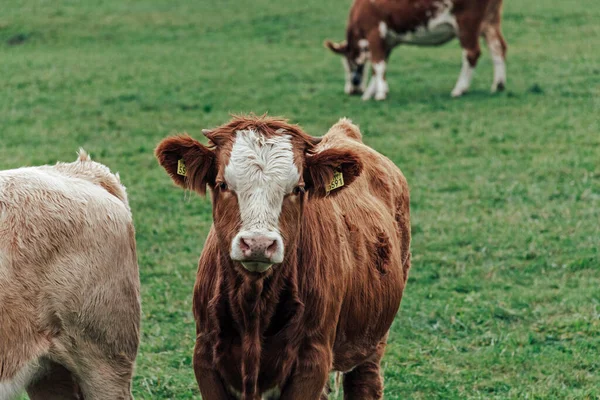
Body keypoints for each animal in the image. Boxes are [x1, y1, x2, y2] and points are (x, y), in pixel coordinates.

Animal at [156, 114, 412, 398]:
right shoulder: (205, 357)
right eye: (223, 184)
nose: (258, 243)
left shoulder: (312, 362)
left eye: (298, 189)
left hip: (372, 339)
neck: (254, 307)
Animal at [326, 0, 508, 99]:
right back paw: (498, 84)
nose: (352, 90)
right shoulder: (387, 41)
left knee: (471, 53)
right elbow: (380, 66)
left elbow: (378, 65)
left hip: (467, 24)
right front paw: (372, 92)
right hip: (489, 21)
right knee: (498, 48)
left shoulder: (374, 32)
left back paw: (459, 89)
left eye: (348, 63)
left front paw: (379, 94)